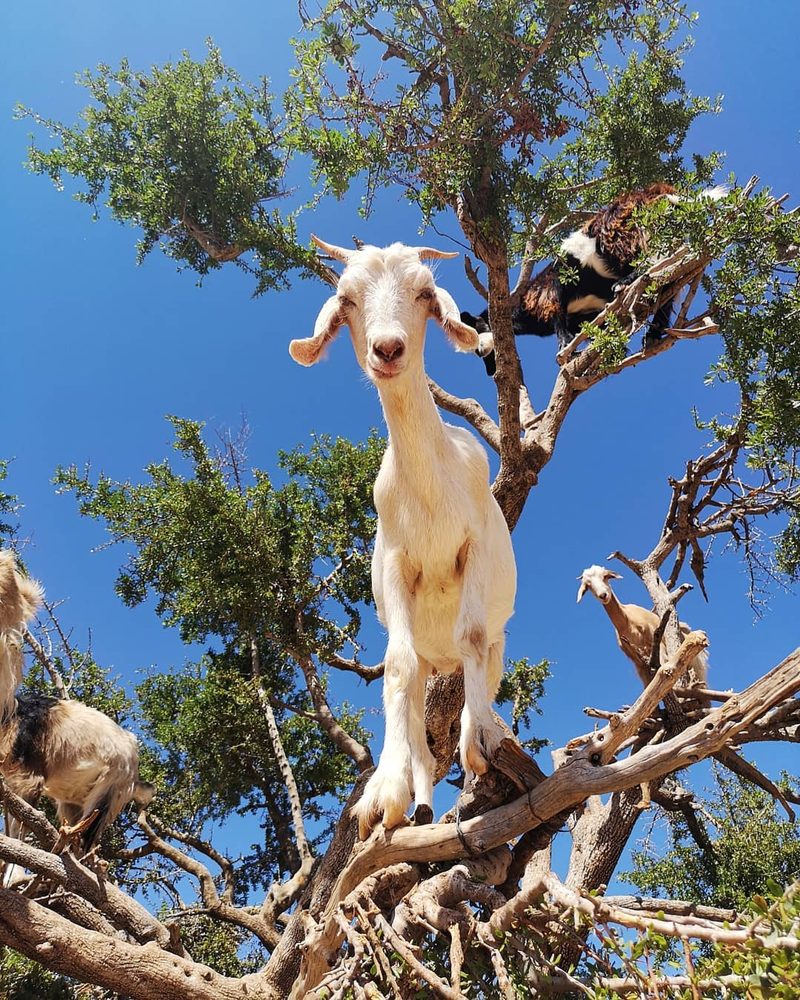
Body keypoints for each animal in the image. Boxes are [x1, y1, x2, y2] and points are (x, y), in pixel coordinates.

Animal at [290, 238, 516, 840]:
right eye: (347, 299)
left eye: (422, 292)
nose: (388, 349)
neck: (430, 486)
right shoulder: (395, 562)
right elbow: (395, 666)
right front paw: (385, 792)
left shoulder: (474, 547)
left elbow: (472, 634)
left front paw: (480, 741)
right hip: (422, 652)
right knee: (417, 710)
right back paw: (420, 805)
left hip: (495, 645)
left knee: (478, 667)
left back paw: (481, 739)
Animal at [460, 181, 728, 376]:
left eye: (479, 328)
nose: (487, 363)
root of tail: (664, 193)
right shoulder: (587, 313)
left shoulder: (556, 282)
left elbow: (557, 311)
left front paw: (565, 346)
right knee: (669, 280)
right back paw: (652, 334)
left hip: (626, 231)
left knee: (655, 258)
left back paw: (627, 283)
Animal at [576, 568, 708, 692]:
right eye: (588, 585)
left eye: (605, 576)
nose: (603, 595)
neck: (627, 622)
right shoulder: (637, 661)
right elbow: (647, 686)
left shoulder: (658, 645)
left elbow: (664, 667)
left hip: (695, 663)